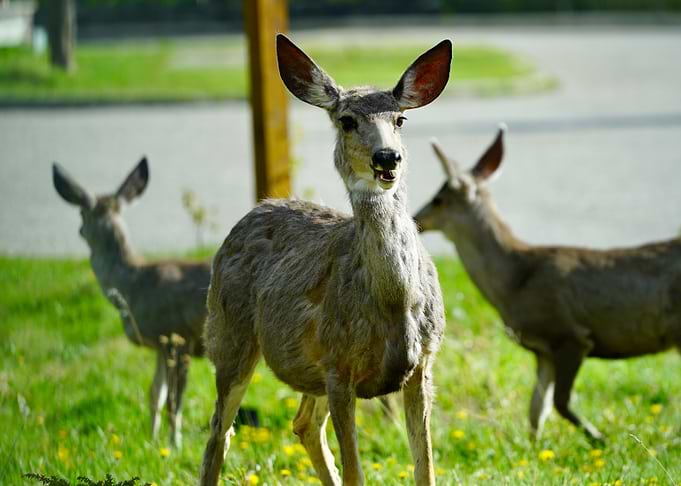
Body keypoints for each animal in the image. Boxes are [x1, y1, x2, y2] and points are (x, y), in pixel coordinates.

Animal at [52, 159, 211, 448]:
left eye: (81, 213)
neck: (135, 284)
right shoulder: (160, 345)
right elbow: (155, 394)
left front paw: (174, 445)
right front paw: (152, 440)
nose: (79, 230)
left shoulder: (178, 337)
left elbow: (174, 402)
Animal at [198, 35, 451, 486]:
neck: (393, 301)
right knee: (219, 434)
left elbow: (425, 470)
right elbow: (356, 473)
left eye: (400, 119)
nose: (387, 157)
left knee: (302, 425)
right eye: (347, 120)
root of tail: (255, 209)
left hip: (305, 368)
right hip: (229, 331)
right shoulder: (337, 366)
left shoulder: (423, 362)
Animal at [414, 125, 681, 442]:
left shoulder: (570, 335)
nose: (416, 219)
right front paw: (534, 448)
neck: (515, 282)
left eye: (439, 198)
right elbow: (535, 410)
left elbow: (560, 402)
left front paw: (600, 439)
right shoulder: (543, 351)